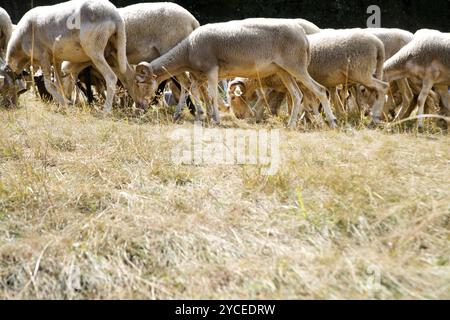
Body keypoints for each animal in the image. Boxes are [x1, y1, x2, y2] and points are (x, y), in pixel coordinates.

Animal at [134, 18, 338, 128]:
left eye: (140, 82)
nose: (139, 106)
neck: (188, 50)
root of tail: (303, 34)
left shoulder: (211, 70)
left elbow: (212, 94)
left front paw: (215, 119)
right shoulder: (199, 75)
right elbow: (193, 90)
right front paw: (201, 115)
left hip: (296, 66)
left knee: (319, 90)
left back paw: (332, 121)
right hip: (283, 71)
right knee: (297, 95)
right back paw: (291, 124)